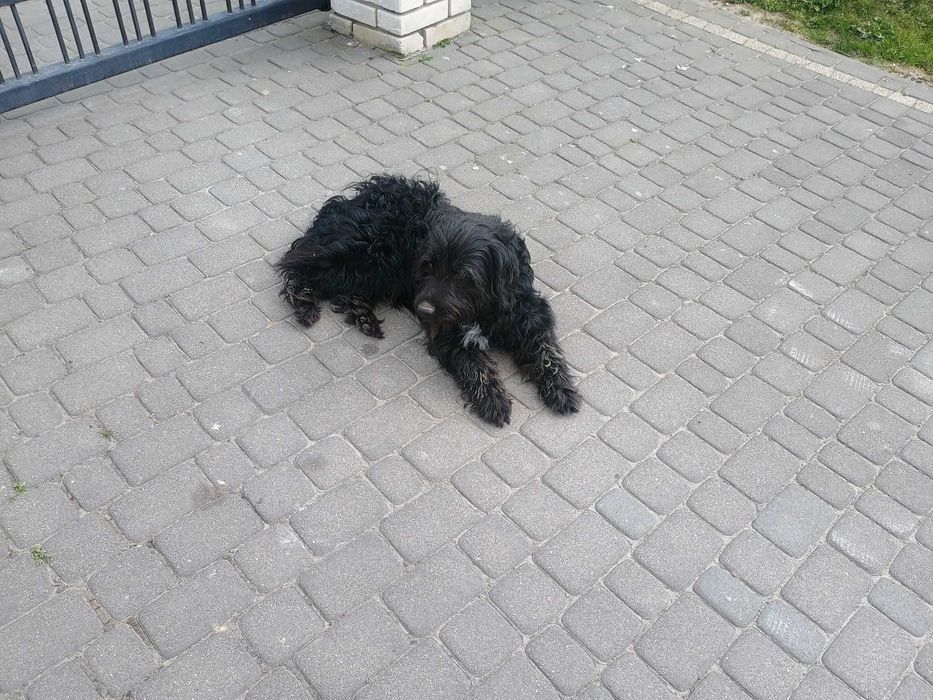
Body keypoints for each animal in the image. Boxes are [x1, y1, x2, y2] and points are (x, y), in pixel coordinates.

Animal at [276, 174, 580, 427]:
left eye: (462, 274)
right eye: (427, 265)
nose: (423, 310)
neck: (481, 308)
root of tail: (345, 203)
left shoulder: (528, 315)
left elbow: (546, 351)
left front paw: (562, 389)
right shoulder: (447, 333)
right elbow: (475, 365)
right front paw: (493, 400)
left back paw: (364, 316)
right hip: (364, 256)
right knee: (296, 264)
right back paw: (303, 301)